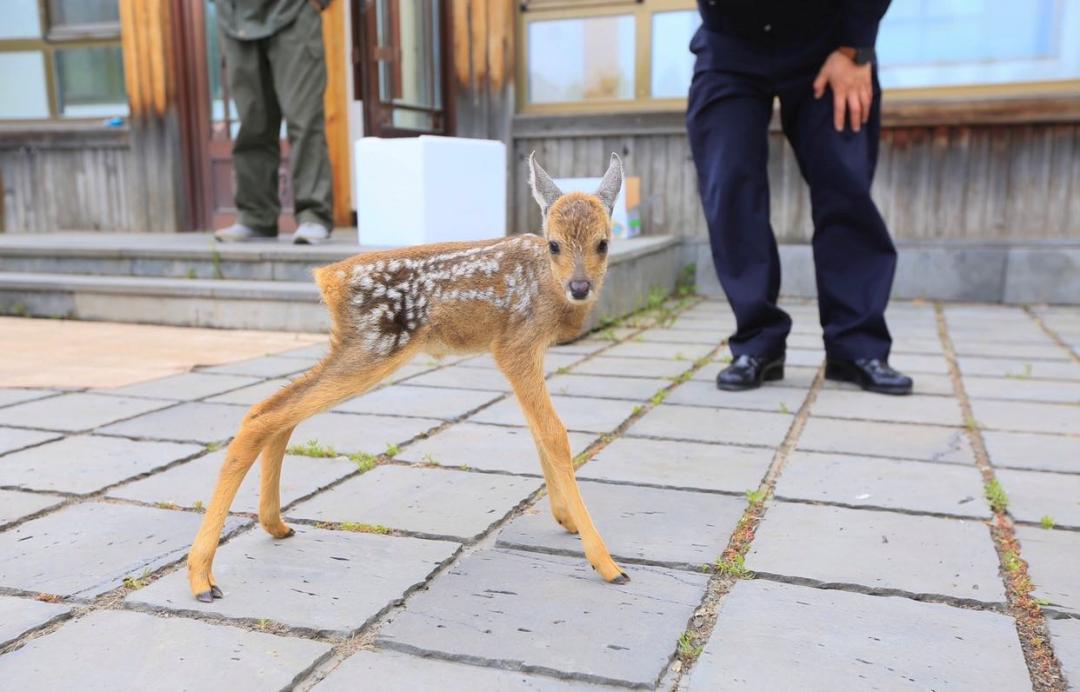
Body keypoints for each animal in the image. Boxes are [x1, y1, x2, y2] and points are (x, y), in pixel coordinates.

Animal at [182, 151, 630, 600]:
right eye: (554, 244)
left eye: (603, 242)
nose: (579, 286)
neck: (546, 289)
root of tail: (328, 280)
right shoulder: (514, 346)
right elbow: (554, 434)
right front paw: (606, 562)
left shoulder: (526, 352)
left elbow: (538, 432)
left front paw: (565, 518)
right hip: (374, 346)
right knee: (266, 414)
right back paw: (202, 576)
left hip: (361, 347)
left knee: (279, 411)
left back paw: (274, 526)